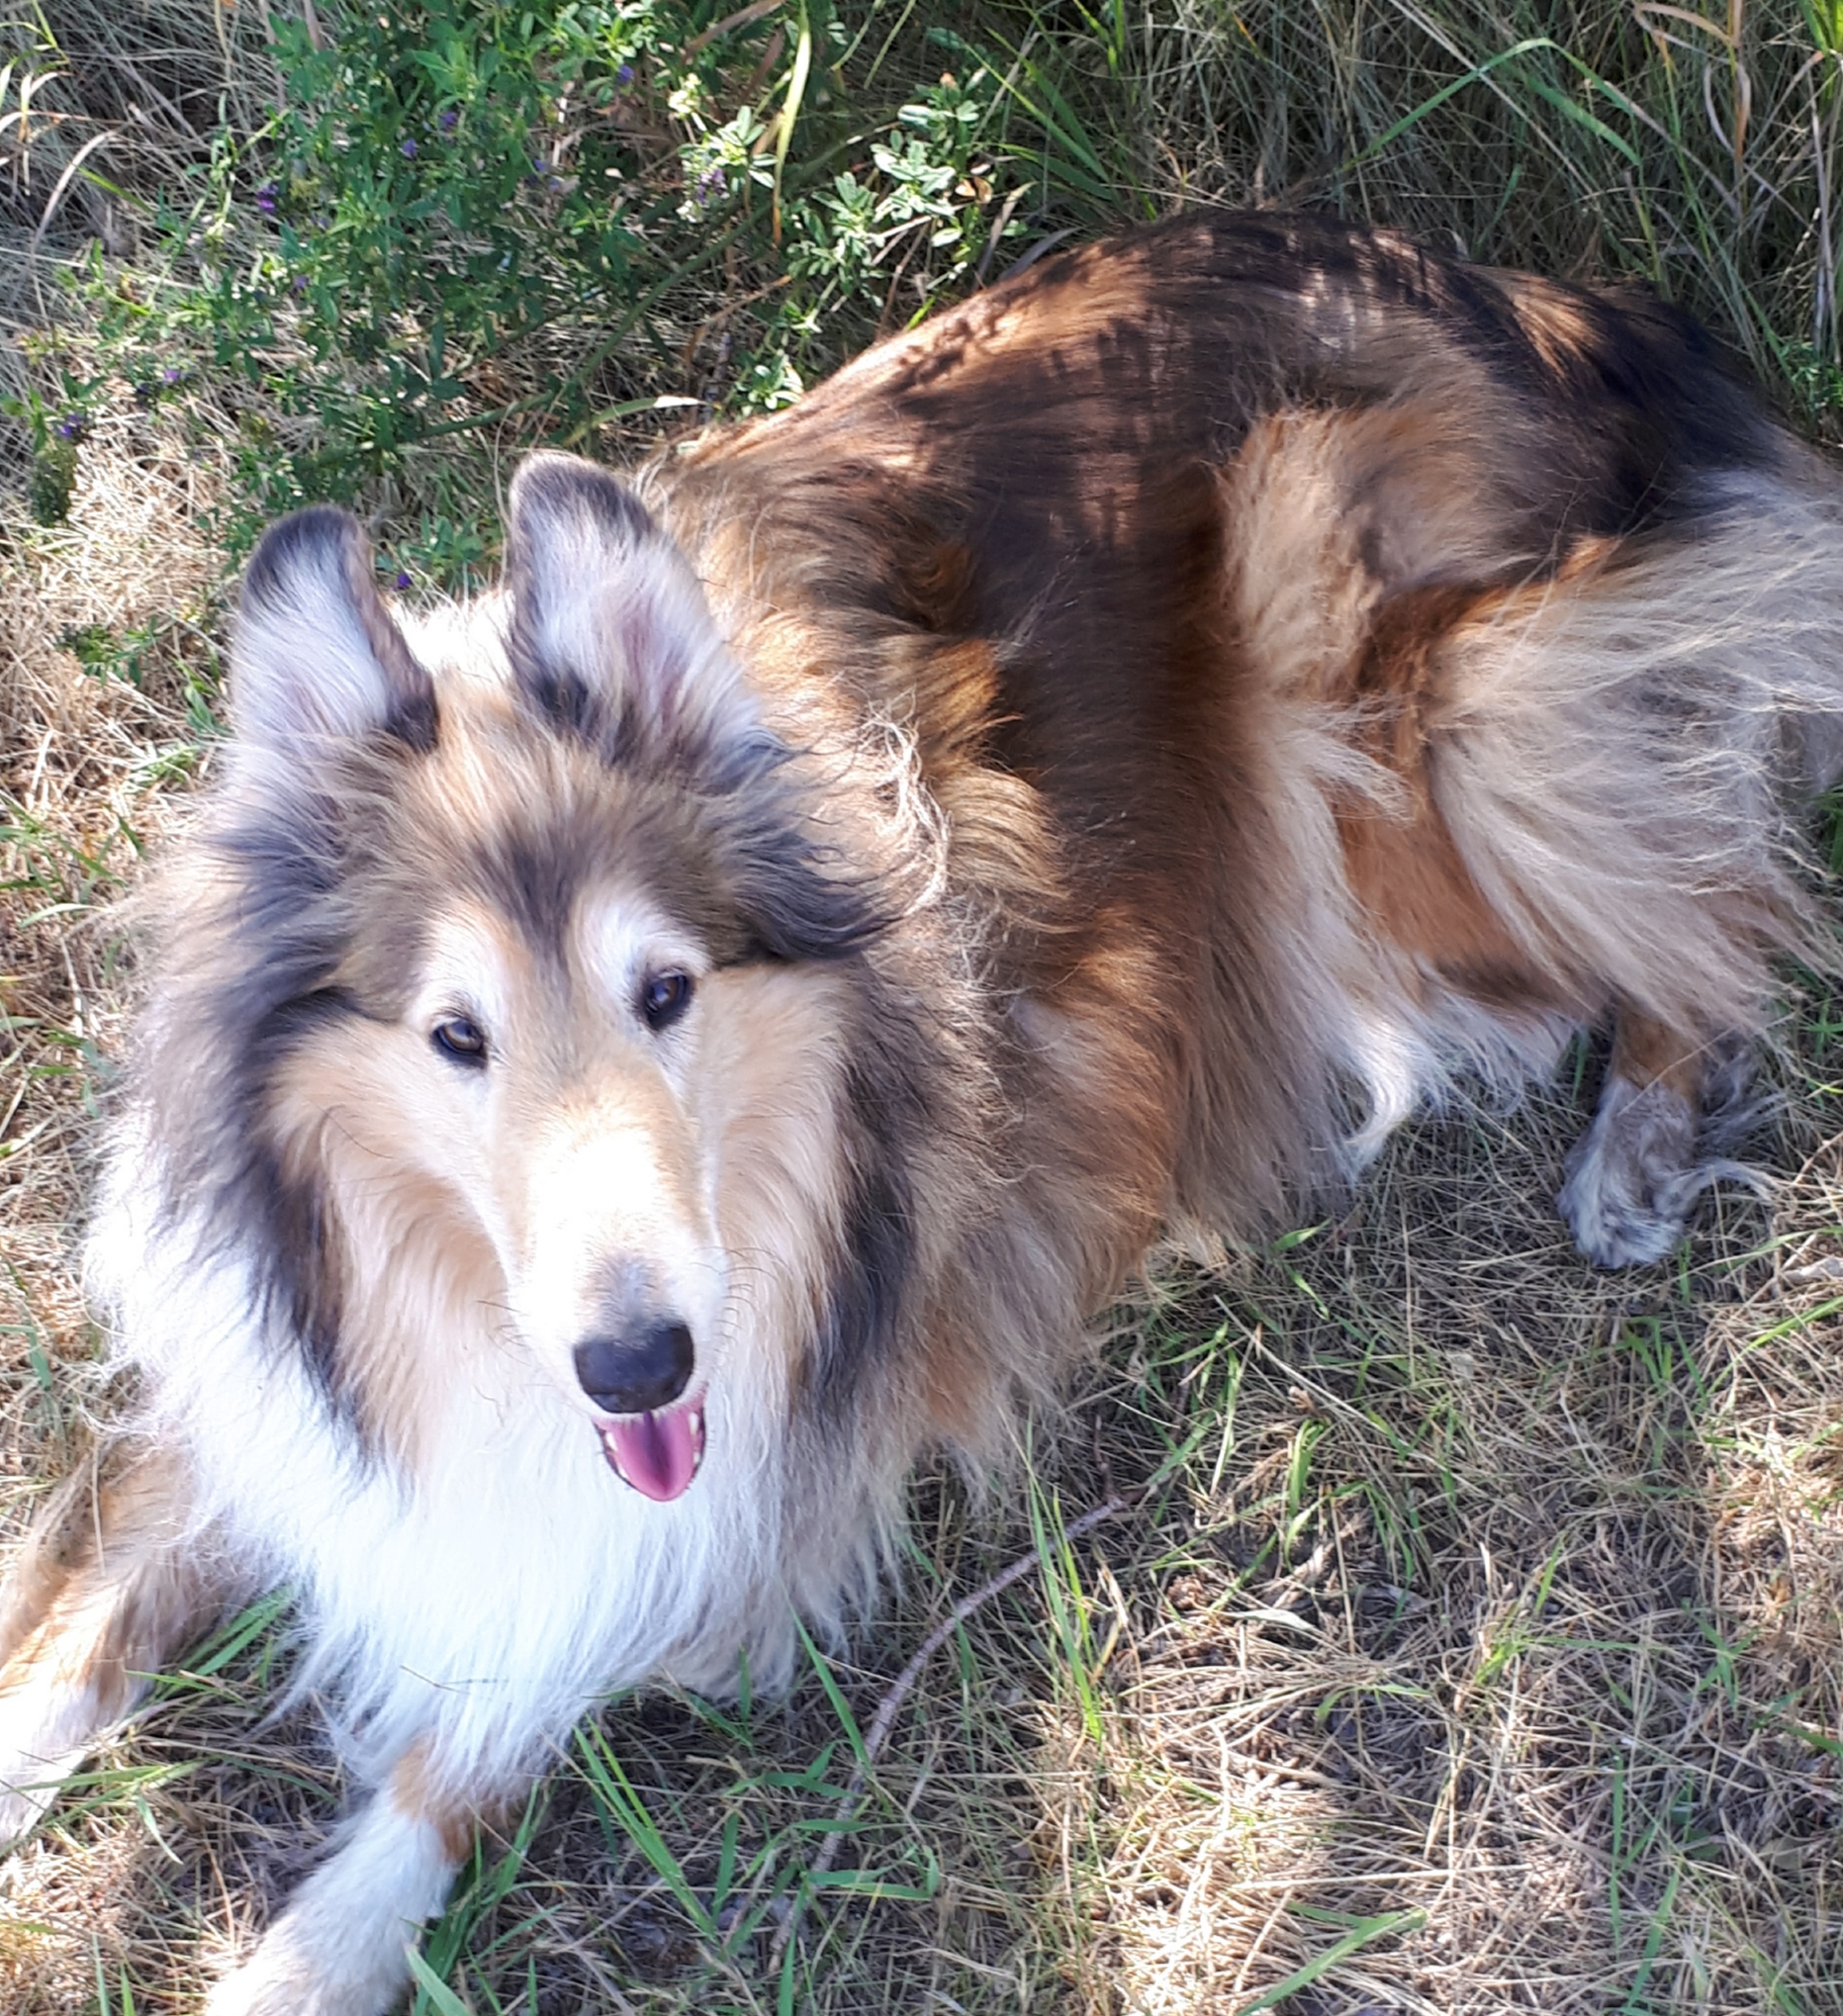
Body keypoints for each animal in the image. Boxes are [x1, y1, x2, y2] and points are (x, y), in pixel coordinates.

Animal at [4, 211, 1843, 2013]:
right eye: (456, 1035)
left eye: (666, 991)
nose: (636, 1365)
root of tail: (1538, 292)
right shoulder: (269, 1379)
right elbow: (86, 1618)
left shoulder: (734, 1483)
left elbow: (463, 1743)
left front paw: (300, 1956)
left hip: (1401, 701)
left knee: (1712, 877)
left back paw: (1634, 1145)